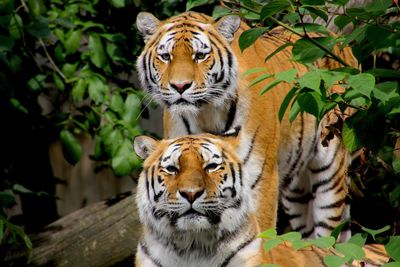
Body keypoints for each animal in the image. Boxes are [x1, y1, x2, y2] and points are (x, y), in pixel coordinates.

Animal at [136, 11, 358, 240]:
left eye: (200, 55)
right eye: (165, 56)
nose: (180, 86)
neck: (206, 113)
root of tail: (340, 41)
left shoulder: (260, 179)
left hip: (329, 174)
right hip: (297, 192)